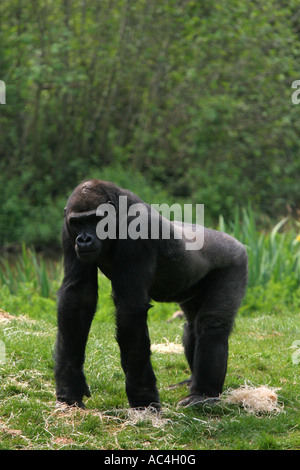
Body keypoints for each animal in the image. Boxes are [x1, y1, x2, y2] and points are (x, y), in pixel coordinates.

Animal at [55, 180, 247, 412]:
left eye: (95, 219)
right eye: (77, 222)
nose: (83, 239)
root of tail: (237, 242)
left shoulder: (139, 231)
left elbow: (130, 311)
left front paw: (142, 397)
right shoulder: (67, 231)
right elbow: (78, 298)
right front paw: (69, 386)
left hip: (235, 261)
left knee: (211, 325)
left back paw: (203, 394)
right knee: (192, 326)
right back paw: (194, 382)